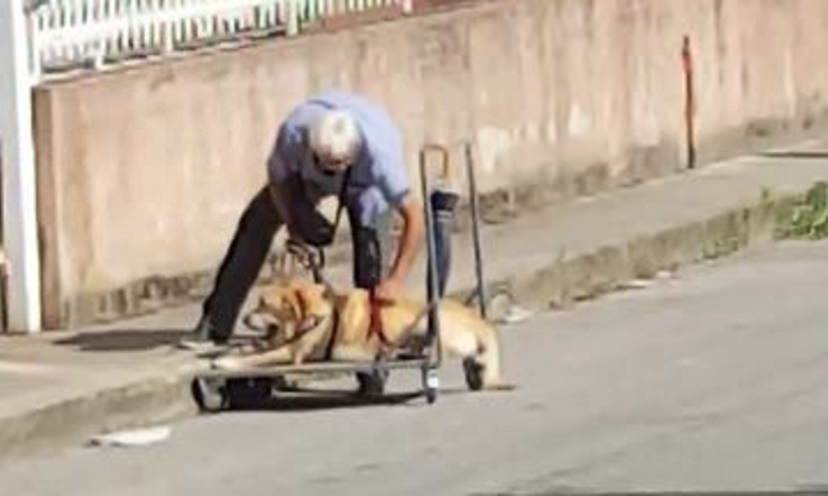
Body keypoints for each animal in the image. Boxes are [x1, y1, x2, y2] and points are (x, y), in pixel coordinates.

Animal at [212, 276, 511, 391]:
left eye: (263, 304)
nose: (244, 317)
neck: (313, 312)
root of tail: (480, 321)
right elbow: (255, 348)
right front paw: (234, 350)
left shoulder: (292, 350)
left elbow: (257, 357)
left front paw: (225, 361)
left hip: (426, 320)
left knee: (432, 349)